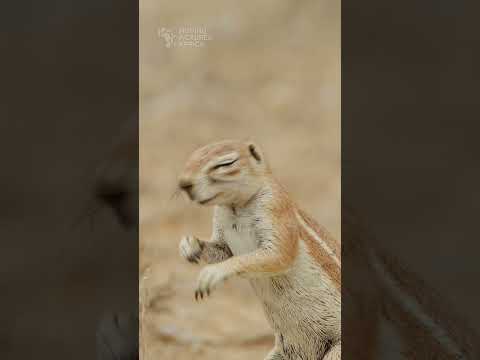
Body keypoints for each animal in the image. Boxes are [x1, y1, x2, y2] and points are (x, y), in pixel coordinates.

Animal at [178, 139, 340, 358]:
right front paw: (189, 245)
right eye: (191, 158)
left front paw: (213, 272)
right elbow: (221, 250)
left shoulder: (275, 209)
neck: (235, 207)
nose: (184, 184)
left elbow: (278, 254)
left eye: (226, 163)